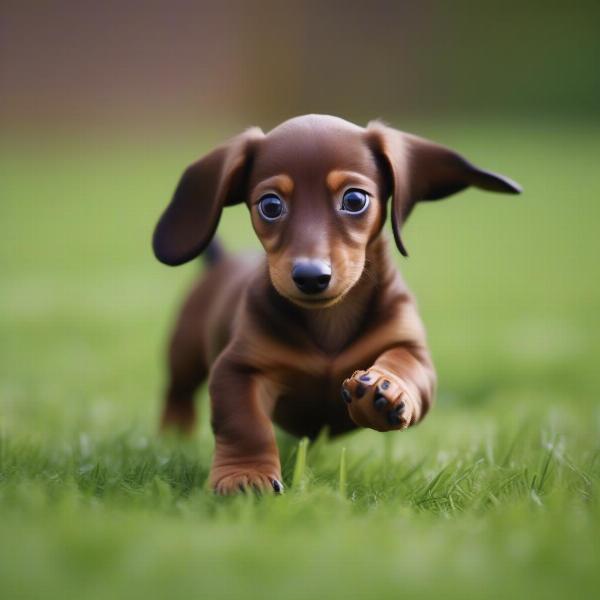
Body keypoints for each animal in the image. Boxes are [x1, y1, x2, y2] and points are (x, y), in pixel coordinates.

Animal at [154, 115, 520, 494]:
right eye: (270, 205)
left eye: (355, 199)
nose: (311, 276)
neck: (329, 318)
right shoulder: (238, 368)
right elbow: (245, 424)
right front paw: (245, 475)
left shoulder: (410, 347)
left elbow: (405, 364)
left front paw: (384, 390)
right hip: (183, 353)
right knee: (177, 392)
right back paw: (172, 438)